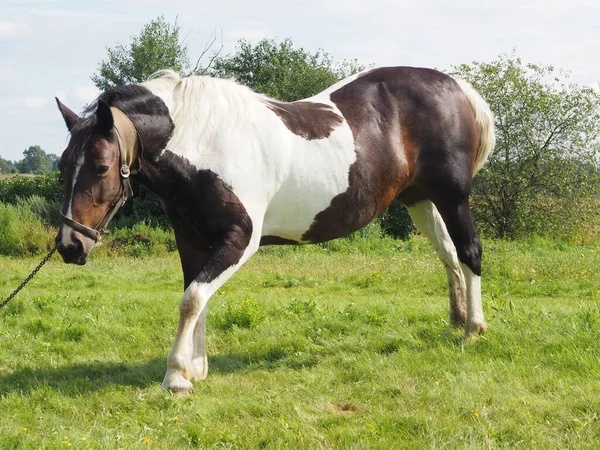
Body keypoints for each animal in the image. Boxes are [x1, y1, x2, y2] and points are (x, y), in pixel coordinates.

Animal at [56, 67, 494, 394]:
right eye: (62, 166)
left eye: (100, 166)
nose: (69, 246)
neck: (203, 140)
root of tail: (457, 87)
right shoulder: (193, 241)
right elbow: (196, 298)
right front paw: (196, 368)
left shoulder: (239, 241)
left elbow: (192, 299)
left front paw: (177, 376)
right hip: (420, 200)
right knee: (449, 256)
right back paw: (456, 321)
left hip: (453, 198)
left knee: (469, 253)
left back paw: (473, 330)